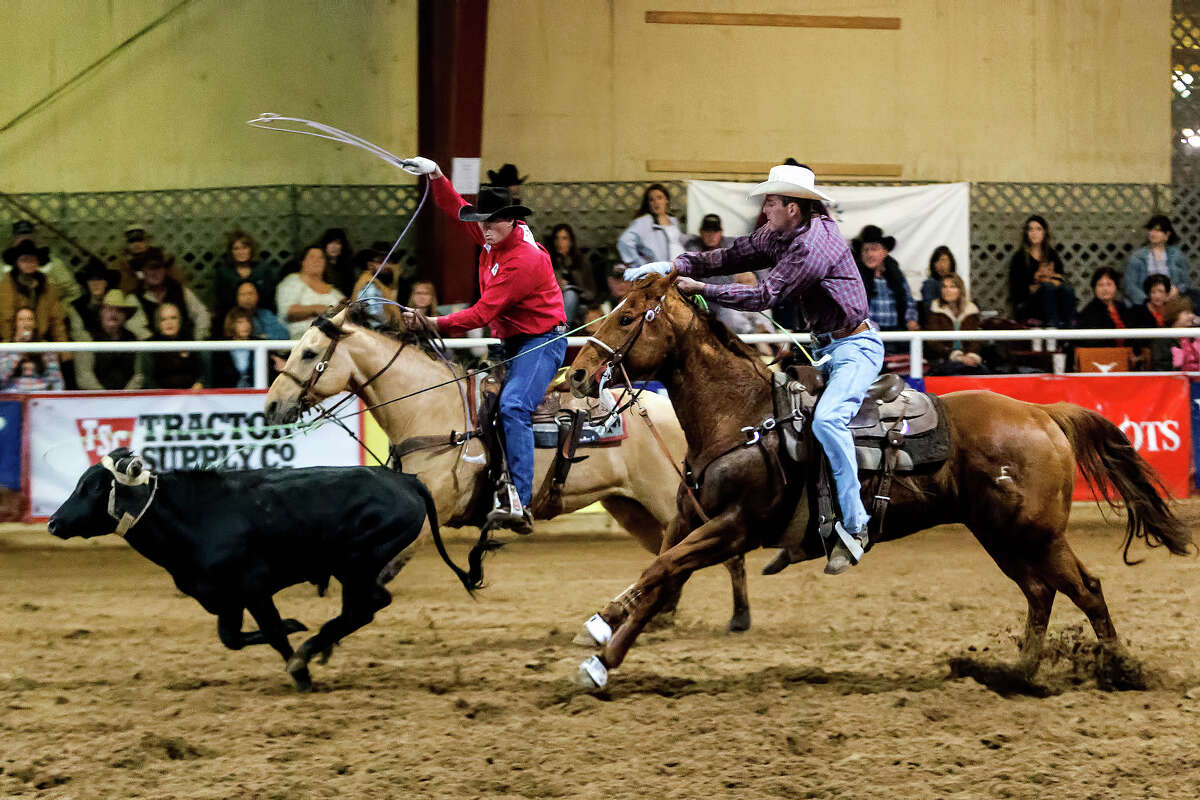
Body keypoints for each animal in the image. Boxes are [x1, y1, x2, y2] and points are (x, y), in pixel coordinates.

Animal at [264, 299, 748, 633]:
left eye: (309, 354)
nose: (270, 407)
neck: (435, 411)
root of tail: (666, 410)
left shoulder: (429, 513)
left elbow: (384, 565)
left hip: (670, 501)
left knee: (722, 551)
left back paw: (738, 618)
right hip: (632, 508)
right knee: (669, 555)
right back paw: (661, 615)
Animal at [566, 273, 1195, 690]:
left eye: (626, 318)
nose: (576, 374)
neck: (741, 415)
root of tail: (1043, 413)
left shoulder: (735, 527)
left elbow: (657, 572)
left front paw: (601, 622)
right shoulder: (689, 520)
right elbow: (661, 577)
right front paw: (605, 657)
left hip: (1034, 534)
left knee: (1084, 588)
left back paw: (1120, 670)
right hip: (1002, 536)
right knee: (1042, 593)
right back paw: (1014, 673)